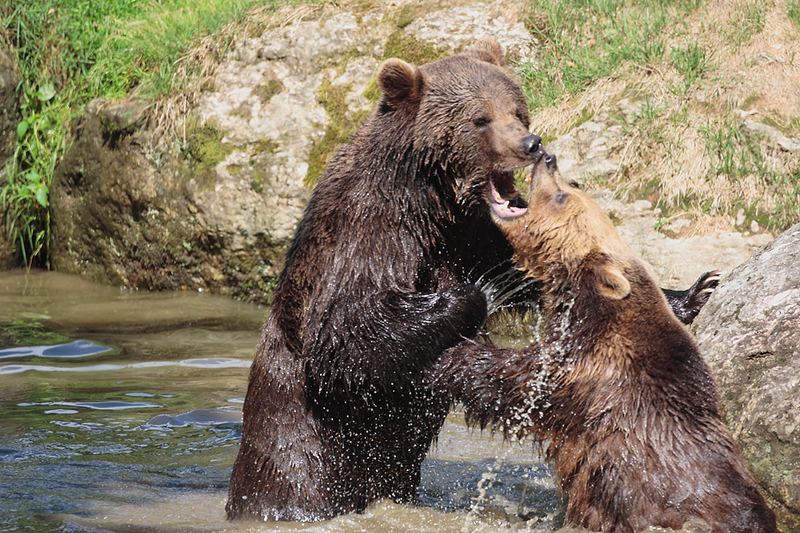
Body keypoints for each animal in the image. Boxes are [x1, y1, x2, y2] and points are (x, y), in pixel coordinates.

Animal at [227, 39, 720, 520]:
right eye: (479, 118)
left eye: (517, 109)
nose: (531, 143)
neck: (431, 200)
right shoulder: (368, 231)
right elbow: (347, 331)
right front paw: (473, 297)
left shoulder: (472, 233)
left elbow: (535, 271)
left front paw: (694, 291)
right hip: (304, 448)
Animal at [434, 154, 780, 532]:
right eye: (568, 186)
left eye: (562, 196)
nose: (548, 158)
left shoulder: (585, 374)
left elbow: (515, 382)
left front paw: (456, 349)